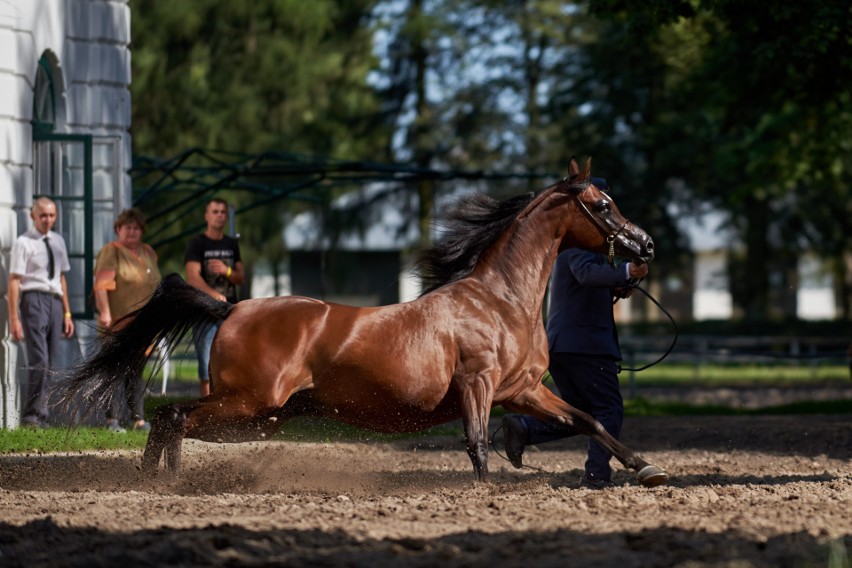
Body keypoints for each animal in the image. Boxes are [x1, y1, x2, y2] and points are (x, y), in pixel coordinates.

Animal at [63, 156, 668, 488]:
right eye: (604, 204)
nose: (645, 246)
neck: (499, 301)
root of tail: (230, 308)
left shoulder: (521, 390)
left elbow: (590, 421)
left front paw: (647, 469)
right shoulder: (478, 384)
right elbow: (476, 444)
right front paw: (484, 492)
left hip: (262, 415)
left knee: (174, 420)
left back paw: (166, 479)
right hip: (249, 404)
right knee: (171, 416)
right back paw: (159, 483)